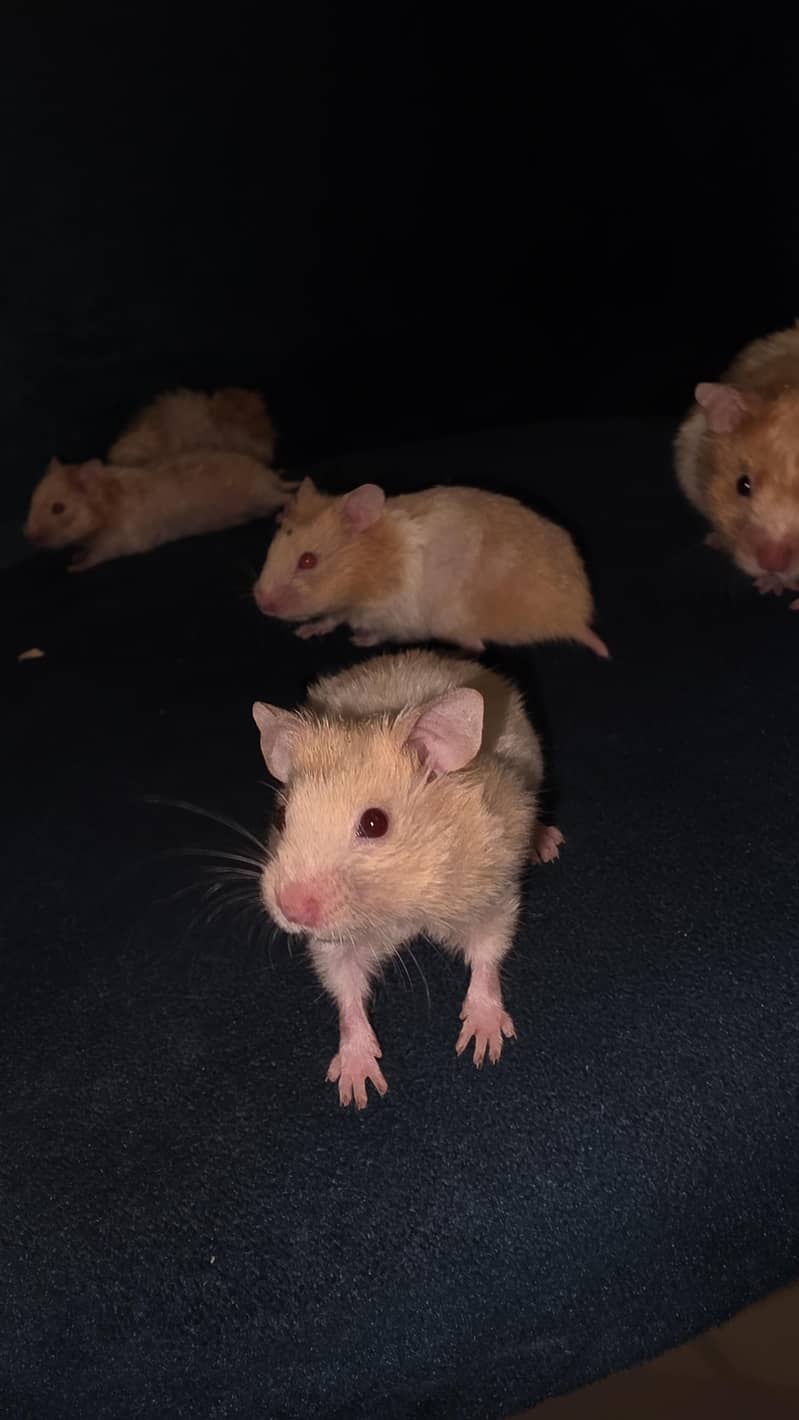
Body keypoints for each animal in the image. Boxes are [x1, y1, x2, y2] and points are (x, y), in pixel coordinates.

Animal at [24, 451, 295, 570]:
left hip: (259, 497)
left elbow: (102, 554)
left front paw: (78, 565)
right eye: (33, 502)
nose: (29, 537)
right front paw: (77, 554)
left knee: (286, 496)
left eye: (58, 508)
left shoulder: (121, 538)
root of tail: (268, 478)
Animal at [252, 478, 609, 657]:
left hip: (451, 620)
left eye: (307, 561)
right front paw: (305, 632)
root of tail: (576, 617)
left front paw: (358, 641)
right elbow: (330, 618)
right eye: (272, 548)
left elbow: (375, 632)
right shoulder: (348, 609)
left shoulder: (392, 618)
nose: (261, 603)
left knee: (476, 646)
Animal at [253, 648, 564, 1108]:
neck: (396, 898)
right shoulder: (335, 942)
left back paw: (547, 843)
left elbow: (488, 953)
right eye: (280, 816)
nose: (290, 909)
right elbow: (345, 991)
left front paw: (482, 1046)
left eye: (375, 823)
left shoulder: (490, 891)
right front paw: (357, 1088)